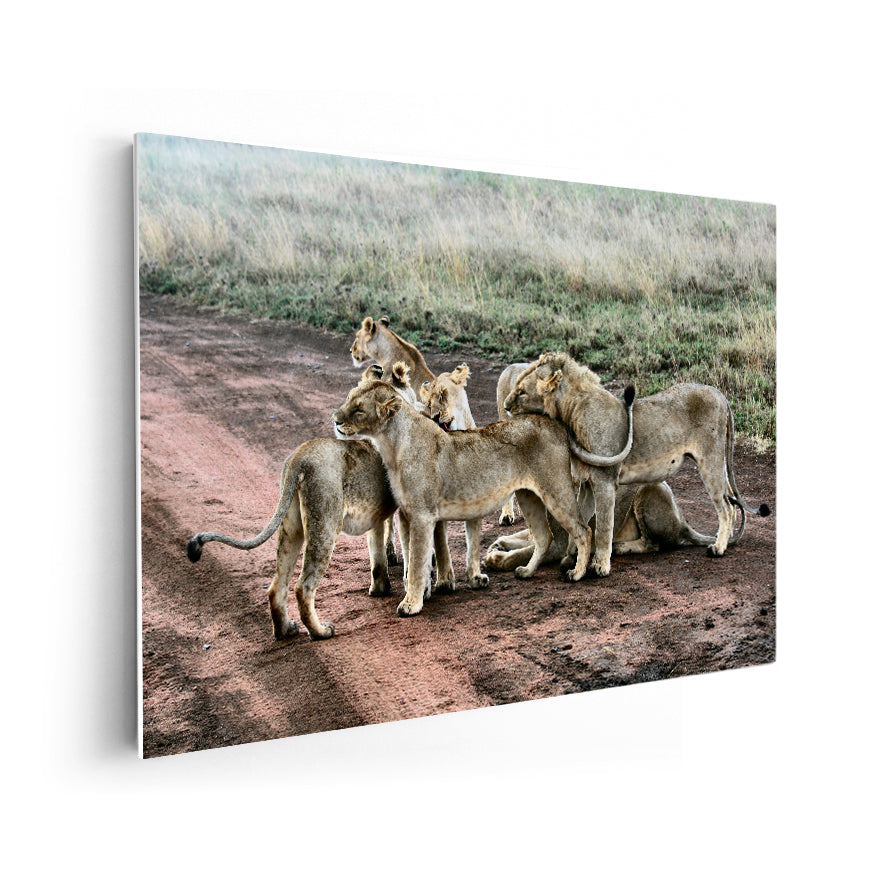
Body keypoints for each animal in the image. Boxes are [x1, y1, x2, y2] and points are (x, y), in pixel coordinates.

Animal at [186, 438, 400, 641]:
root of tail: (300, 456)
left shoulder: (377, 516)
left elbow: (377, 552)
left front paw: (380, 588)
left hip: (291, 527)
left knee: (277, 586)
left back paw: (285, 630)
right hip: (325, 521)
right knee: (303, 587)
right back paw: (320, 632)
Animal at [332, 381, 598, 618]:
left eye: (359, 409)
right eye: (348, 398)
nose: (335, 419)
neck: (392, 444)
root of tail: (554, 423)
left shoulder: (421, 515)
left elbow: (418, 561)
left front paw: (411, 604)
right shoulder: (407, 514)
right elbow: (414, 558)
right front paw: (422, 591)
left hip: (556, 490)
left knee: (583, 530)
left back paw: (577, 573)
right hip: (528, 496)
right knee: (544, 536)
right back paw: (526, 571)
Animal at [504, 351, 770, 561]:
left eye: (521, 391)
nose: (505, 406)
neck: (570, 411)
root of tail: (720, 393)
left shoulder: (604, 480)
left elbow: (603, 527)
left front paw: (598, 564)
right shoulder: (589, 482)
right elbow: (583, 521)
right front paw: (574, 558)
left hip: (710, 459)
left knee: (726, 506)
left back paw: (719, 547)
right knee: (730, 501)